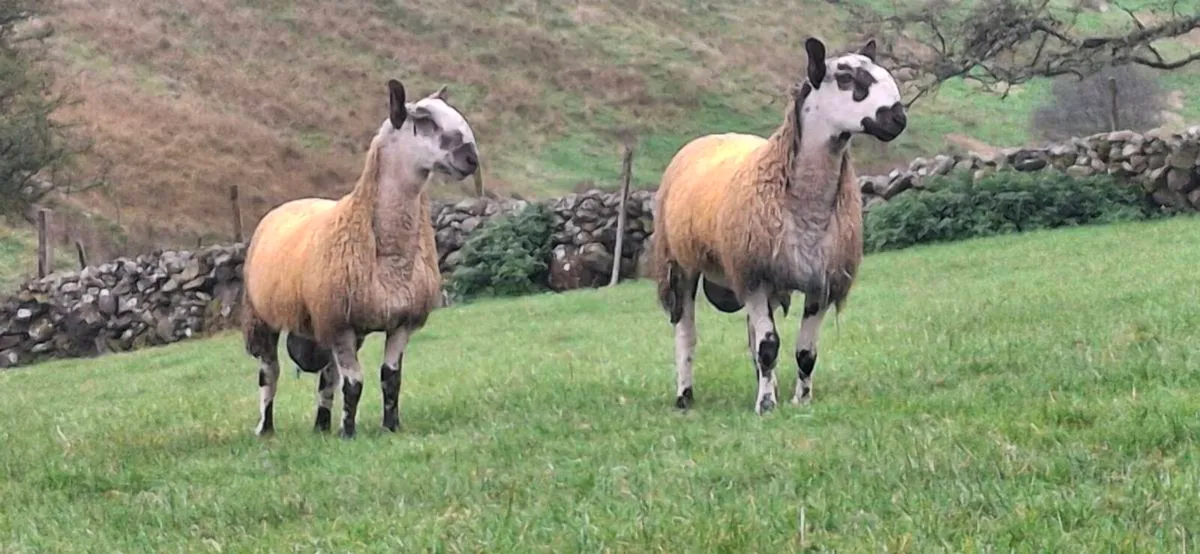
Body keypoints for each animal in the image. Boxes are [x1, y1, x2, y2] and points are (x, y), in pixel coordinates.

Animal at [241, 79, 479, 438]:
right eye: (424, 121)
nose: (471, 158)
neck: (392, 255)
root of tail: (290, 203)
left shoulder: (399, 323)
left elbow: (390, 378)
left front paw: (391, 427)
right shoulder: (340, 324)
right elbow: (354, 383)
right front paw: (349, 433)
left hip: (322, 322)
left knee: (326, 378)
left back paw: (321, 426)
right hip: (264, 318)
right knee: (270, 374)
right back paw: (266, 428)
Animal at [650, 37, 907, 414]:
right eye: (846, 78)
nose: (898, 118)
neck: (806, 206)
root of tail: (710, 137)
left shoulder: (819, 280)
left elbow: (805, 352)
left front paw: (801, 400)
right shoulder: (754, 275)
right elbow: (769, 346)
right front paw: (766, 406)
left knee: (751, 339)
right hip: (680, 262)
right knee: (687, 333)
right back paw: (685, 396)